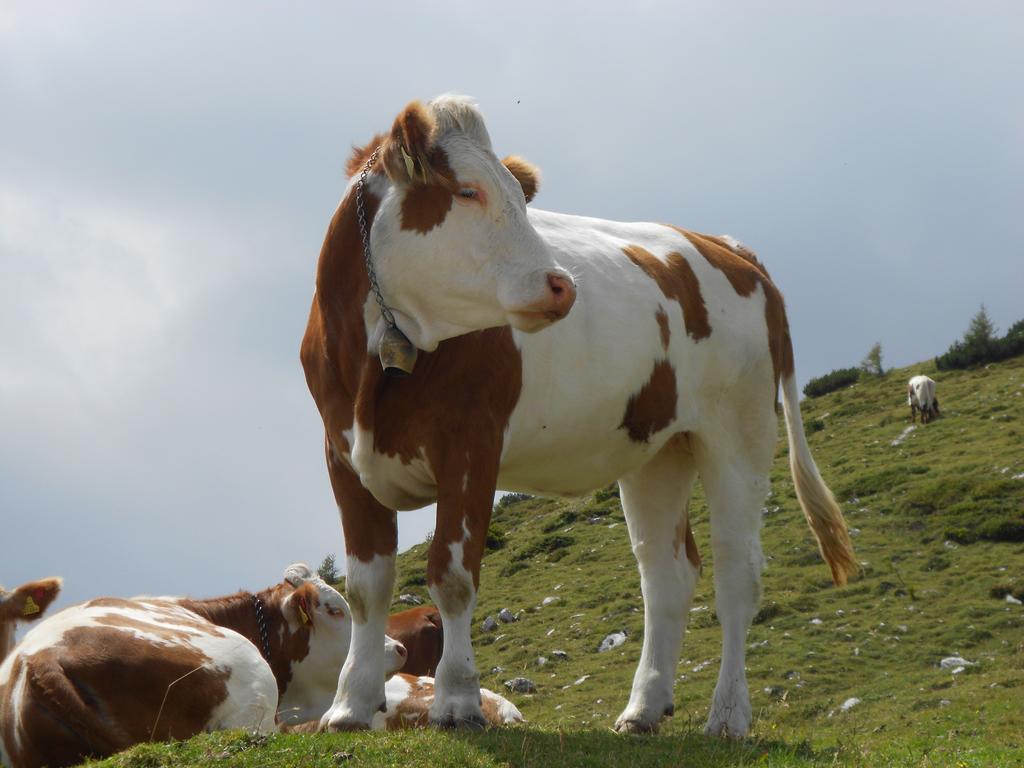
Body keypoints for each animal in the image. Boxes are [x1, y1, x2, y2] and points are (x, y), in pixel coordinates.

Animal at [299, 97, 856, 741]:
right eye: (467, 191)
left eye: (519, 197)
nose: (562, 285)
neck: (378, 366)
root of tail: (727, 248)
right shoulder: (341, 453)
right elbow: (367, 588)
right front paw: (350, 706)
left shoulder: (471, 443)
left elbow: (453, 575)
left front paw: (458, 701)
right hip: (658, 451)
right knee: (666, 576)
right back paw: (643, 708)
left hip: (739, 435)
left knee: (736, 574)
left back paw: (727, 716)